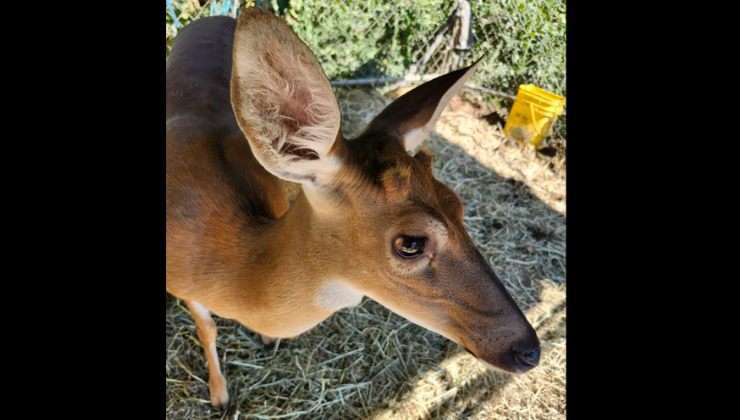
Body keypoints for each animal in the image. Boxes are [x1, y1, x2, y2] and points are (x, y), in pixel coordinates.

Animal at [166, 8, 540, 408]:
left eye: (458, 204)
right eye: (411, 243)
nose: (529, 350)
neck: (228, 263)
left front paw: (266, 341)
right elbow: (207, 328)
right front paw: (219, 396)